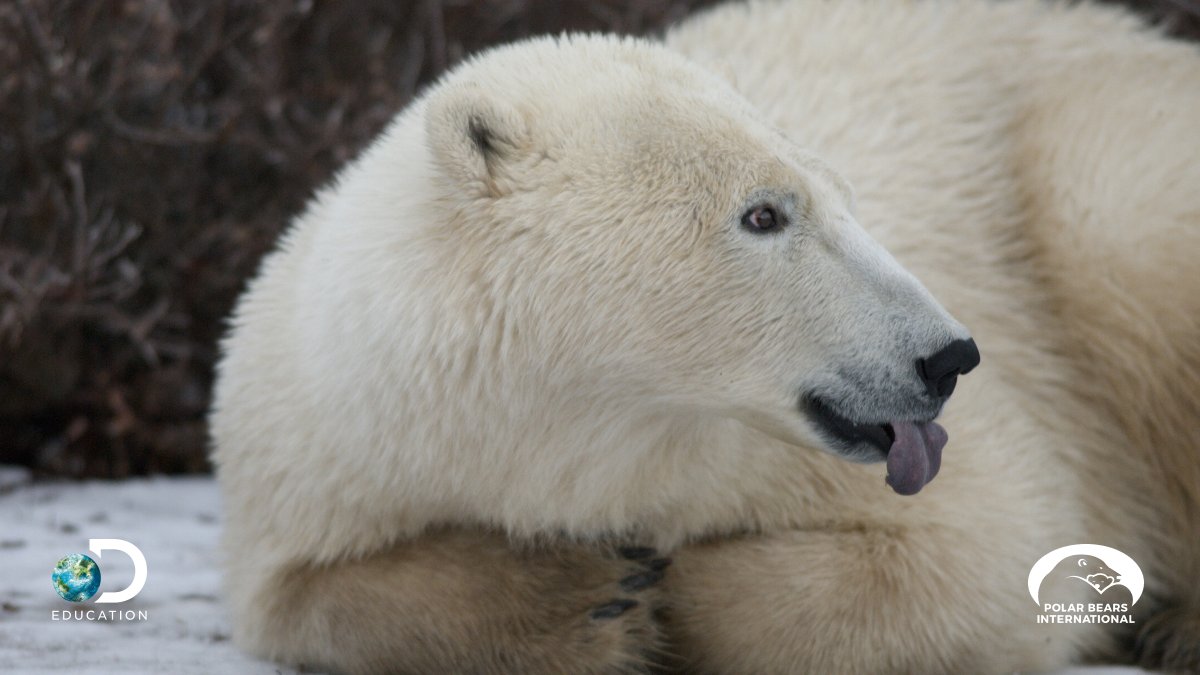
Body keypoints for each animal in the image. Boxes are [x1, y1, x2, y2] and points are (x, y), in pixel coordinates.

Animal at [209, 0, 1200, 673]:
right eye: (764, 213)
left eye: (846, 196)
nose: (948, 356)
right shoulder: (333, 436)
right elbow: (298, 595)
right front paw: (581, 599)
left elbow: (983, 561)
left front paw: (656, 596)